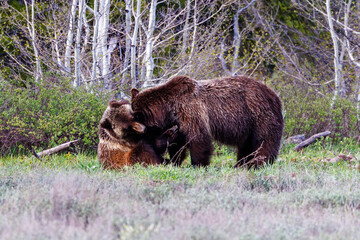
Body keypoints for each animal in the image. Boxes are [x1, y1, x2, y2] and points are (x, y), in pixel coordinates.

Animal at [131, 76, 284, 168]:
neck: (169, 108)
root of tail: (274, 95)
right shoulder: (178, 122)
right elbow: (178, 143)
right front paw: (175, 160)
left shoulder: (191, 112)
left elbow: (198, 139)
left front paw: (198, 164)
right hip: (248, 126)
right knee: (246, 146)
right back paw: (241, 164)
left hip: (259, 116)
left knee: (264, 142)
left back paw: (259, 163)